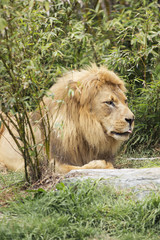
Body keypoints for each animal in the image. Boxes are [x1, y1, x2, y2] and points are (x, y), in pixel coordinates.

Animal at [0, 64, 135, 172]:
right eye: (109, 102)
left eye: (125, 101)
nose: (132, 119)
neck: (86, 135)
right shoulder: (50, 164)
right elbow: (88, 166)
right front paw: (102, 164)